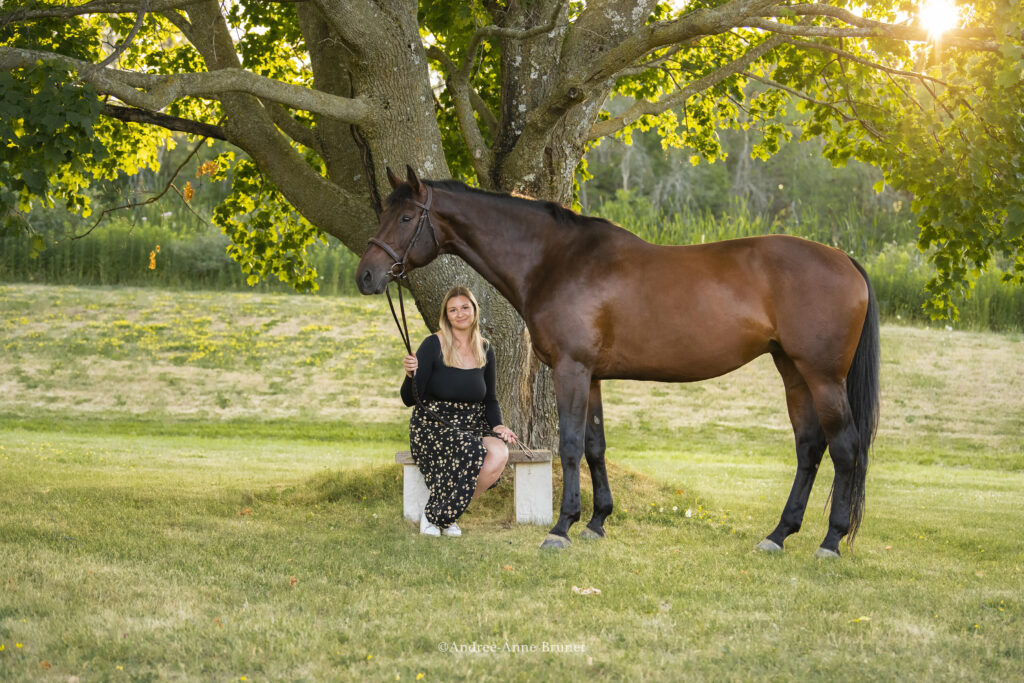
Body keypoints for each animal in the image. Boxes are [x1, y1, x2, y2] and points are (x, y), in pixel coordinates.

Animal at [360, 165, 880, 557]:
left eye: (405, 218)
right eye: (384, 213)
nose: (367, 275)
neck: (556, 259)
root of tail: (845, 260)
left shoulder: (570, 370)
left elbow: (570, 445)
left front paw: (561, 529)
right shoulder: (590, 376)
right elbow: (595, 445)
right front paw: (596, 522)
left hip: (823, 376)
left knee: (846, 448)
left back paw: (830, 542)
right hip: (793, 372)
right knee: (809, 448)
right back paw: (778, 535)